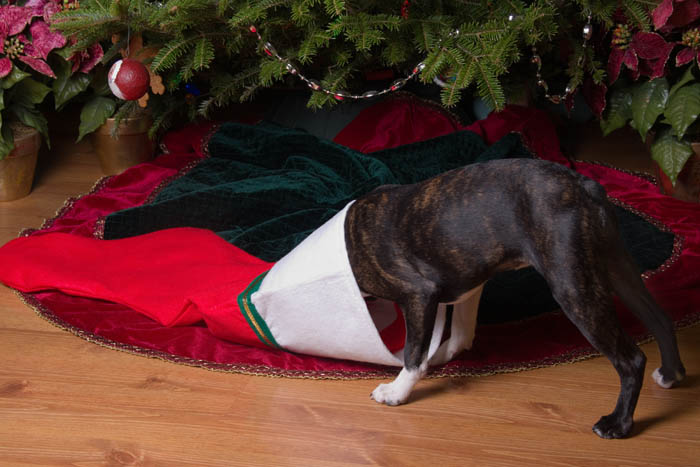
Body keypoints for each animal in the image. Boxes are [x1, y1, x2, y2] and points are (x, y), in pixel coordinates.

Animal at [344, 159, 684, 440]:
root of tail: (584, 186)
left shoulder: (418, 294)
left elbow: (413, 353)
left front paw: (397, 391)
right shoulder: (467, 283)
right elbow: (461, 332)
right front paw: (442, 354)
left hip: (574, 288)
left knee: (630, 359)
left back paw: (618, 424)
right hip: (617, 267)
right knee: (660, 319)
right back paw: (671, 373)